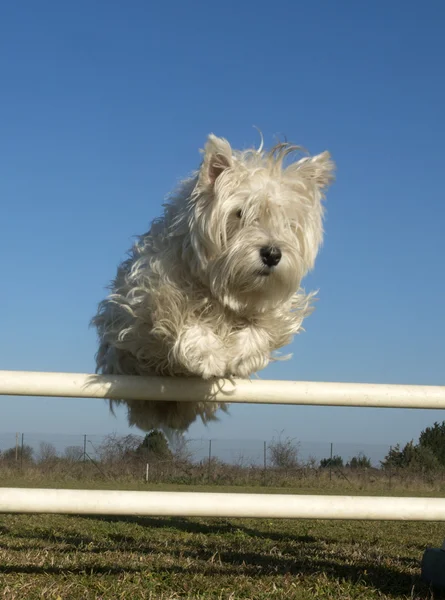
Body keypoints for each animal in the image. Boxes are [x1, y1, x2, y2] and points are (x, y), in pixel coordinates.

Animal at [93, 132, 332, 432]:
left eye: (288, 221)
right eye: (240, 213)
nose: (272, 254)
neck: (223, 288)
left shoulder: (276, 308)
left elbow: (262, 327)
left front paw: (241, 355)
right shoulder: (143, 300)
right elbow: (179, 313)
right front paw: (207, 354)